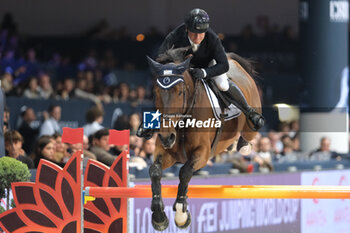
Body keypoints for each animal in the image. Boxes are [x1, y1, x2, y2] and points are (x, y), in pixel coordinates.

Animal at [146, 46, 262, 230]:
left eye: (180, 92)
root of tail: (234, 62)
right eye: (156, 93)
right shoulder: (166, 152)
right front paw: (159, 216)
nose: (166, 137)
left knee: (248, 132)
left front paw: (181, 214)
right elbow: (155, 171)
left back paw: (244, 143)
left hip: (251, 122)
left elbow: (185, 171)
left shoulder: (203, 153)